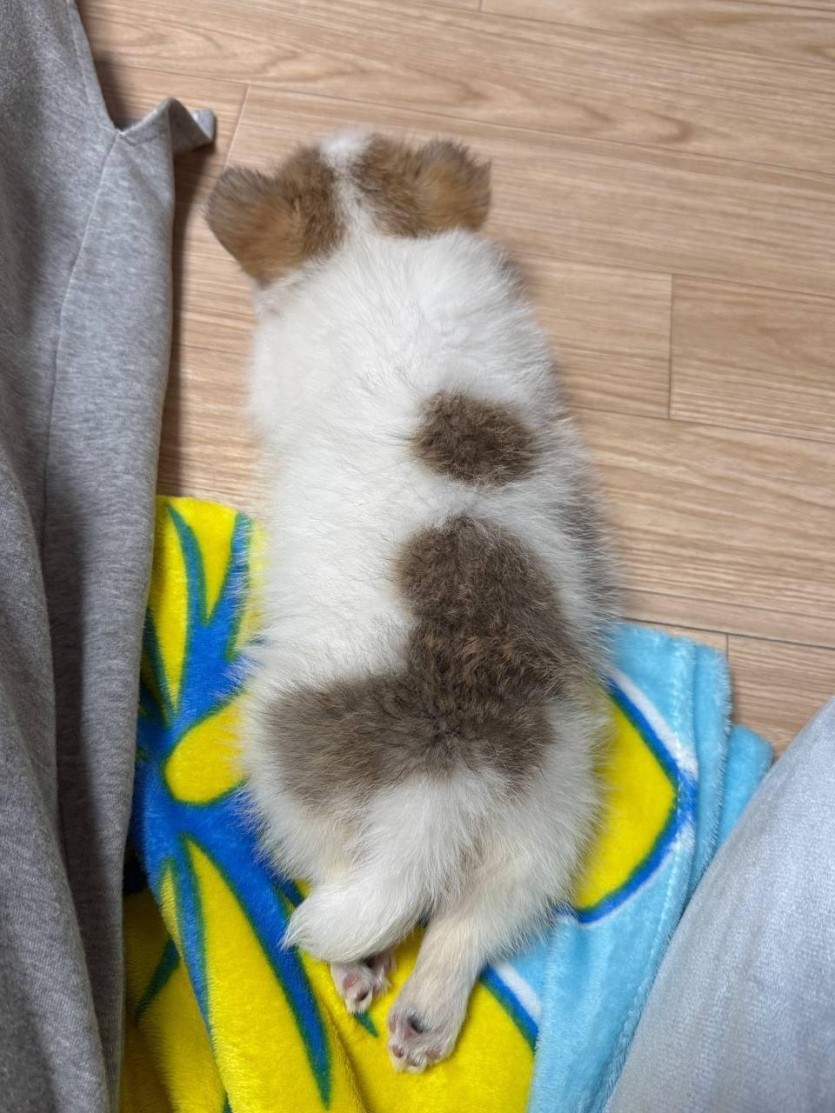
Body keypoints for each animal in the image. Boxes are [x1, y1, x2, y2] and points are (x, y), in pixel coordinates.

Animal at [206, 131, 618, 1072]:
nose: (334, 136)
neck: (368, 235)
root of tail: (441, 776)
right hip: (543, 820)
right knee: (469, 925)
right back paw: (423, 1019)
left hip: (286, 774)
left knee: (347, 881)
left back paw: (356, 972)